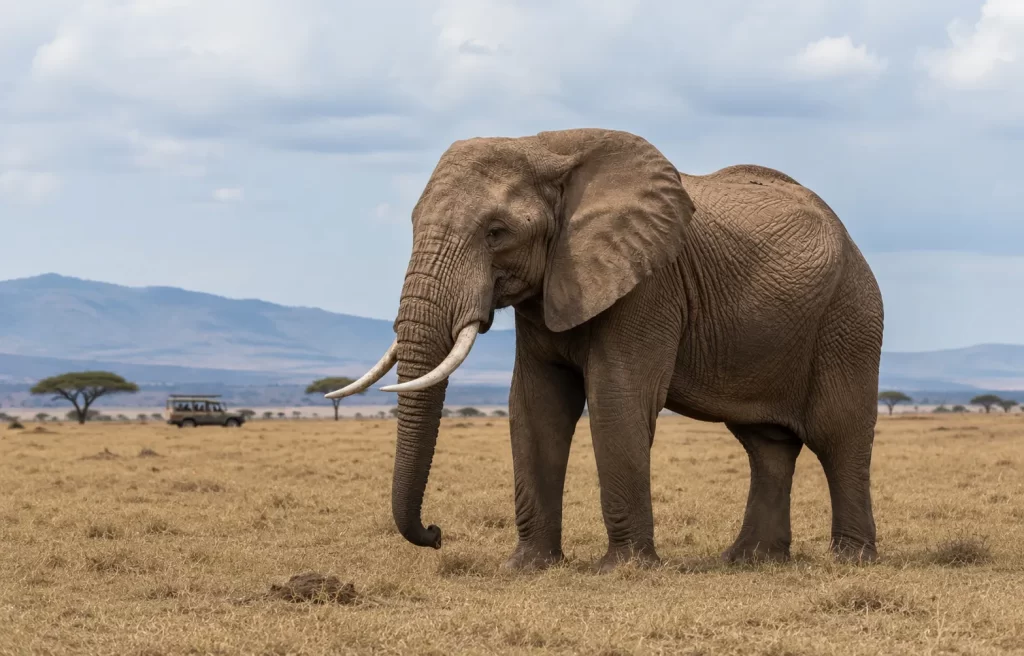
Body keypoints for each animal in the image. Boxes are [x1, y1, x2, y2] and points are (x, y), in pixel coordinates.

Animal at [328, 127, 884, 572]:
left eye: (496, 233)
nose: (436, 534)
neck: (545, 147)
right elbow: (534, 406)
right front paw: (526, 568)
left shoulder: (650, 284)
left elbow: (617, 397)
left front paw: (623, 570)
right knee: (765, 445)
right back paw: (749, 561)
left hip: (850, 316)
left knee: (838, 434)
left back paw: (850, 560)